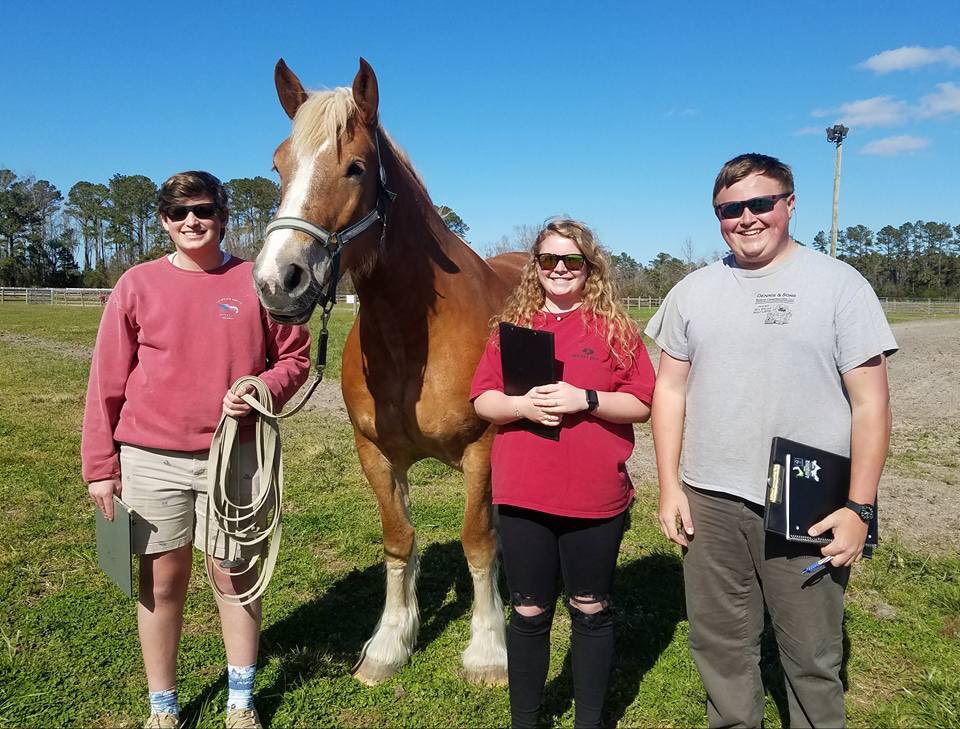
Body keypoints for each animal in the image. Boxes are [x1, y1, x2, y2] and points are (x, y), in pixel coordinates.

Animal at [252, 57, 524, 686]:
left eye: (355, 167)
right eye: (278, 165)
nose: (278, 282)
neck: (413, 345)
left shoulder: (482, 448)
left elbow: (478, 542)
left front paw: (488, 652)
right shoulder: (375, 453)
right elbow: (399, 540)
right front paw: (390, 644)